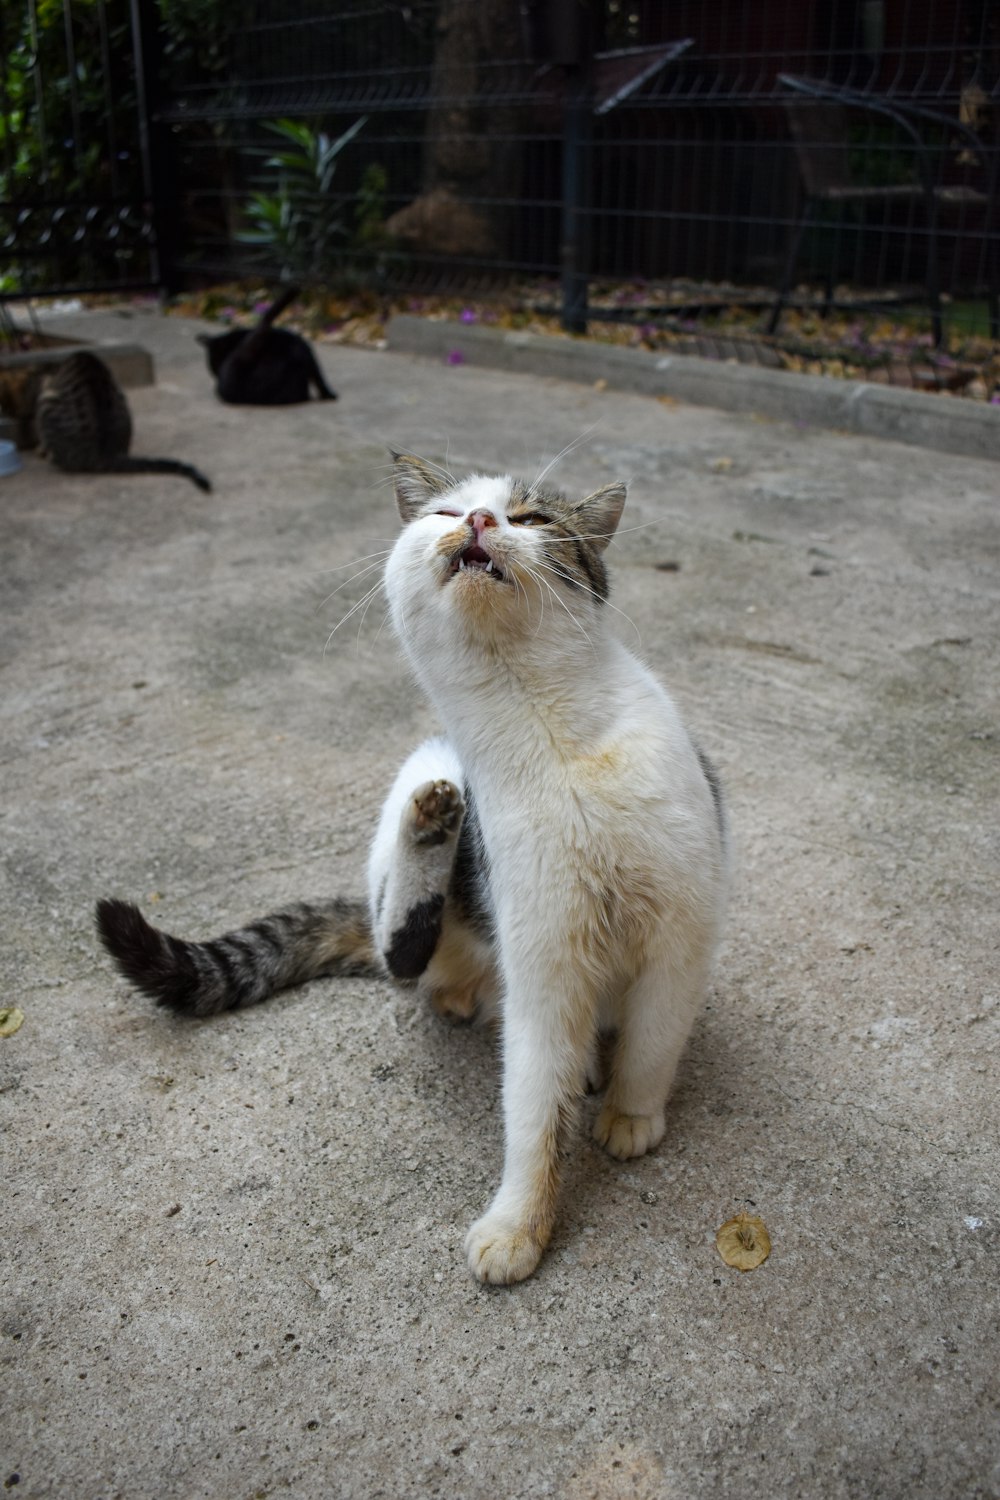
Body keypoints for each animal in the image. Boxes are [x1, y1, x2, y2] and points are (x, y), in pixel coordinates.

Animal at [0, 351, 211, 492]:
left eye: (6, 405)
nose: (10, 414)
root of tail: (106, 453)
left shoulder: (40, 397)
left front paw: (41, 449)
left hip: (49, 402)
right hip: (121, 395)